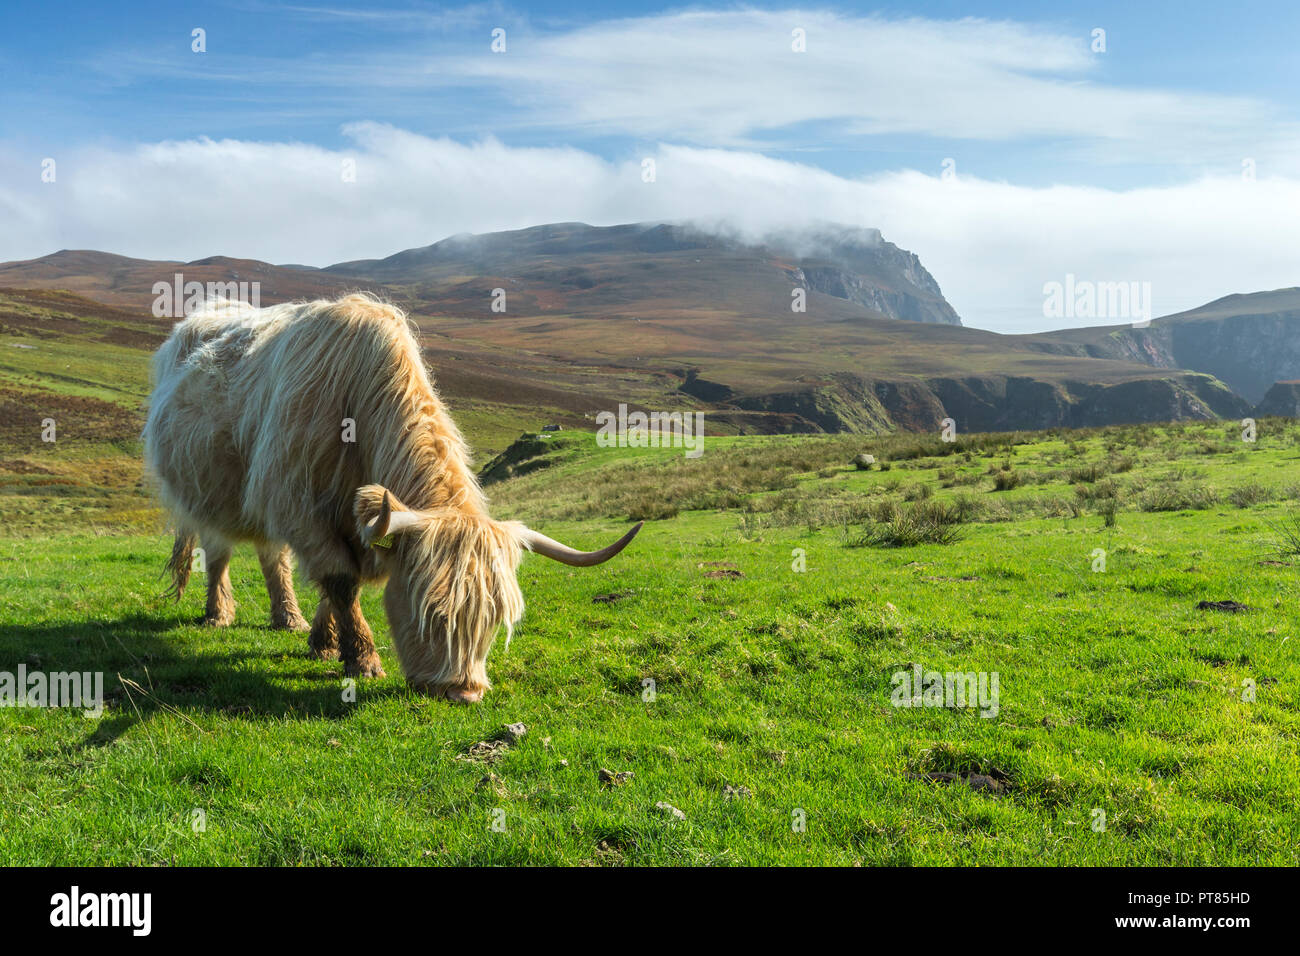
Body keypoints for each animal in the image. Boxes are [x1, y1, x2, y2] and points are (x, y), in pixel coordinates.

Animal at [143, 293, 640, 702]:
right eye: (431, 611)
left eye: (494, 619)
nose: (464, 693)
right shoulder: (300, 505)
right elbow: (340, 581)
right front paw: (362, 660)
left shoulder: (345, 521)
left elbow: (334, 584)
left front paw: (323, 643)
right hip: (206, 492)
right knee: (219, 553)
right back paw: (218, 614)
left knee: (272, 556)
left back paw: (288, 619)